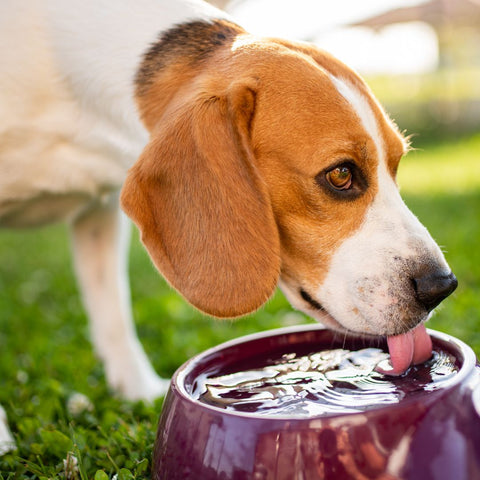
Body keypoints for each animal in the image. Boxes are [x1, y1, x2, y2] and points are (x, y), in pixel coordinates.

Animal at [0, 0, 458, 450]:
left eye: (396, 165)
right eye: (341, 174)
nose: (440, 287)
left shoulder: (101, 211)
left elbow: (113, 311)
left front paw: (138, 391)